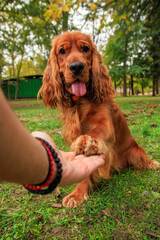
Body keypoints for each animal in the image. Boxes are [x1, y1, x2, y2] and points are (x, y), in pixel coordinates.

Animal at [38, 31, 159, 208]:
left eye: (85, 48)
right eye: (62, 51)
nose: (76, 66)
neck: (80, 101)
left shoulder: (106, 123)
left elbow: (96, 131)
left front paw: (87, 141)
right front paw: (78, 193)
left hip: (135, 151)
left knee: (141, 162)